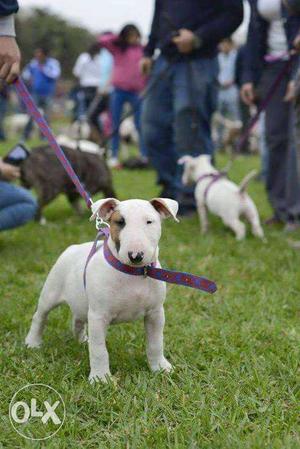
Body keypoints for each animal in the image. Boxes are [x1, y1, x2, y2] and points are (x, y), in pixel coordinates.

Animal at [25, 196, 178, 382]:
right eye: (120, 222)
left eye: (149, 221)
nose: (136, 256)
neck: (133, 273)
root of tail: (73, 247)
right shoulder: (98, 315)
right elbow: (99, 350)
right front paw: (100, 378)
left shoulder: (155, 313)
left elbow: (156, 343)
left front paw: (161, 368)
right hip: (51, 292)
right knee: (40, 316)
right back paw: (32, 342)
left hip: (81, 302)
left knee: (78, 319)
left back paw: (82, 340)